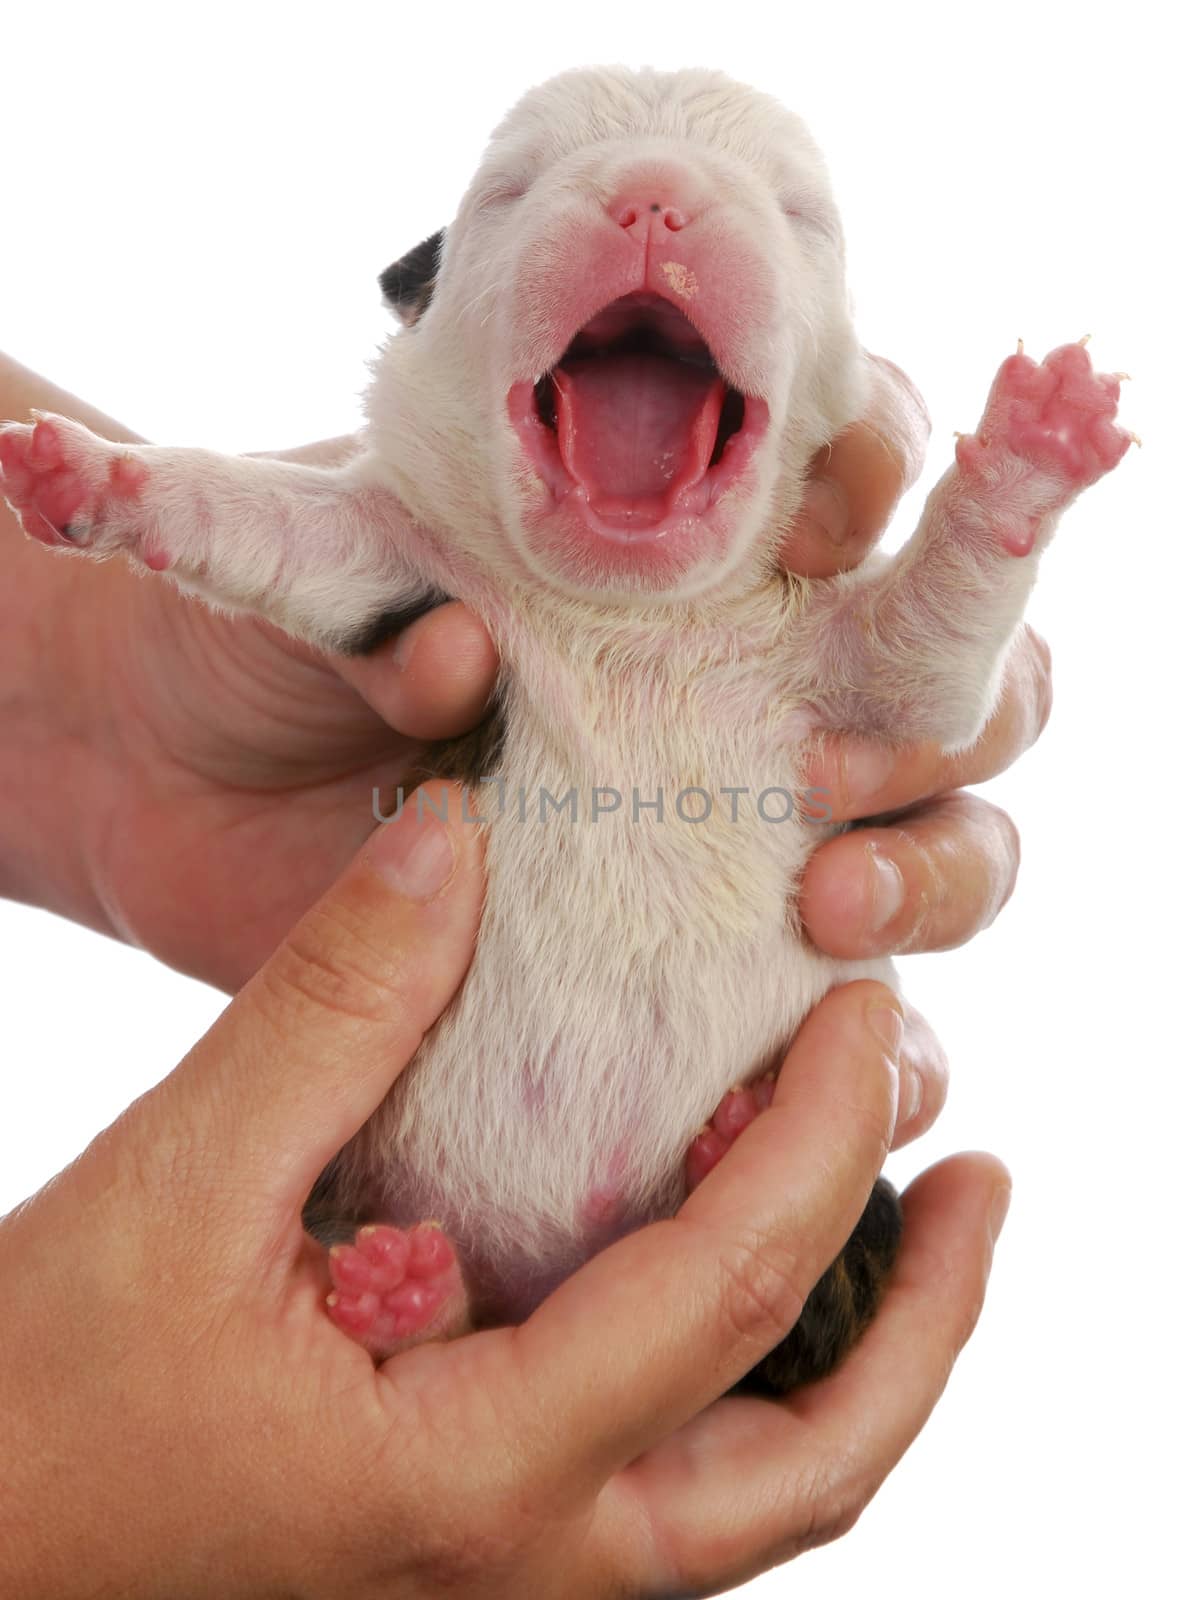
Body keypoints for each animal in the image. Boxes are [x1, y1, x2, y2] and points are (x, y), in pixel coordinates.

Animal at [0, 65, 1132, 1388]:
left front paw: (1030, 447)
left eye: (799, 213)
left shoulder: (858, 675)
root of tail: (539, 1271)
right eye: (513, 184)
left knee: (800, 1326)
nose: (653, 193)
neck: (626, 616)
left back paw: (724, 1145)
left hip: (860, 1214)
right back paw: (407, 1294)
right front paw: (92, 475)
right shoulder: (393, 566)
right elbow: (261, 519)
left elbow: (933, 644)